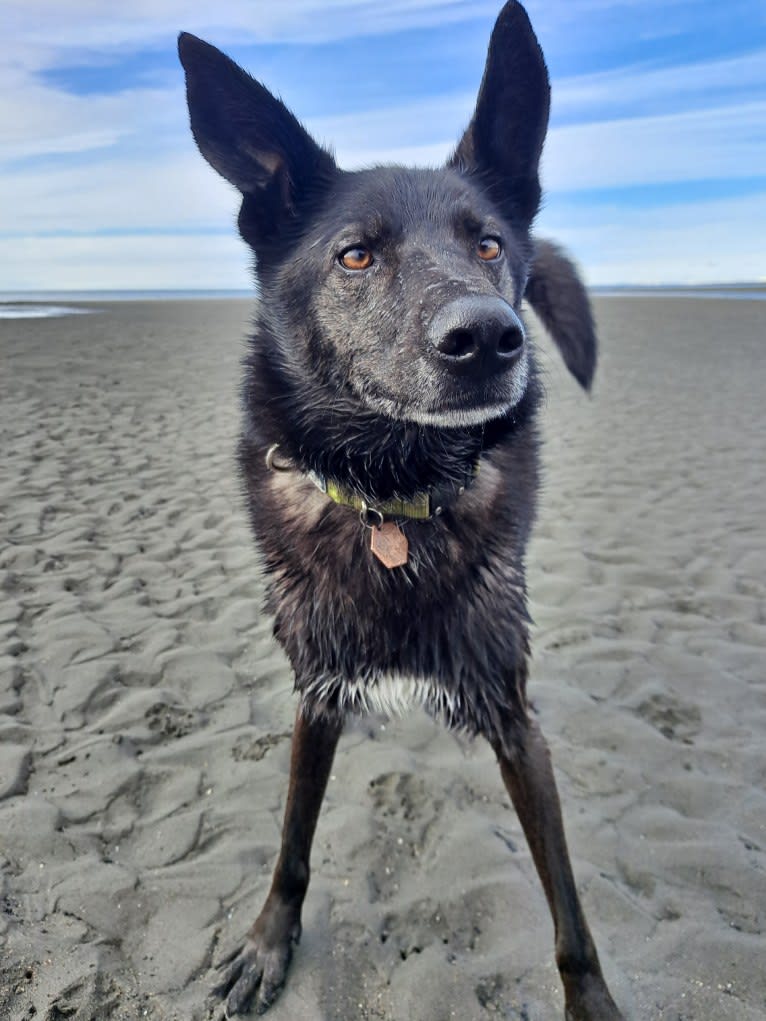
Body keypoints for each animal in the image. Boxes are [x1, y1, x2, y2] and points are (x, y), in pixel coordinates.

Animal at [182, 3, 625, 1016]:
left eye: (489, 244)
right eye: (356, 254)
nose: (490, 337)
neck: (392, 493)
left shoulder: (515, 717)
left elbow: (571, 913)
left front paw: (592, 1000)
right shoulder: (315, 691)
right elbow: (292, 842)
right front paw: (269, 941)